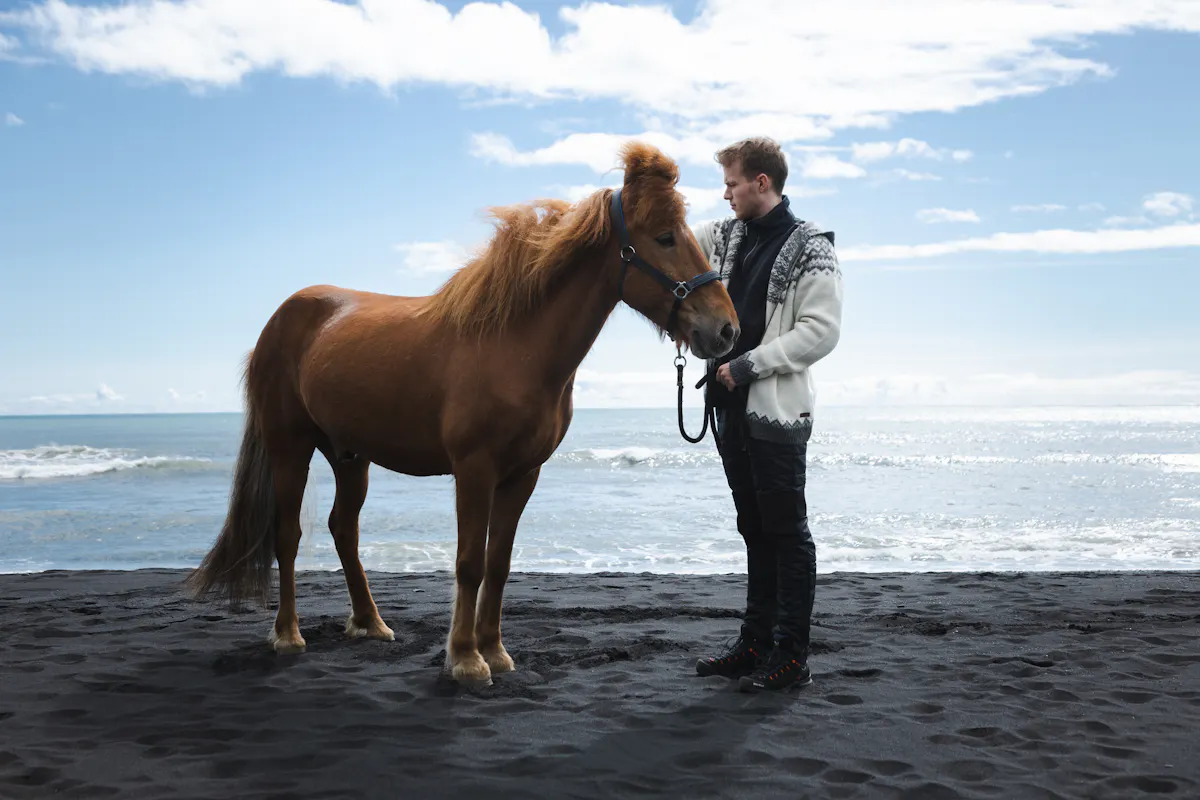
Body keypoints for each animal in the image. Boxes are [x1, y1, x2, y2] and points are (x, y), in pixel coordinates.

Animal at [186, 141, 739, 685]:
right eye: (665, 237)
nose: (726, 329)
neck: (514, 344)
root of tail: (281, 318)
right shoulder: (475, 469)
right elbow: (470, 562)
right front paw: (465, 658)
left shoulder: (522, 474)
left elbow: (499, 562)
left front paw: (494, 650)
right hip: (290, 448)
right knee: (288, 536)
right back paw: (287, 634)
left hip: (350, 457)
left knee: (344, 530)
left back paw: (370, 623)